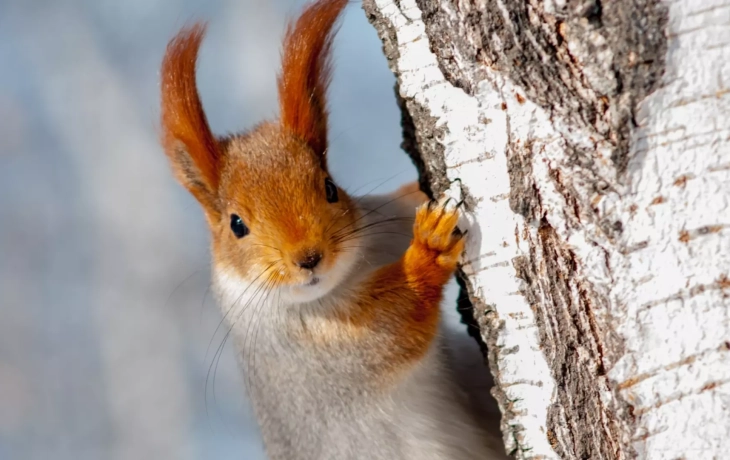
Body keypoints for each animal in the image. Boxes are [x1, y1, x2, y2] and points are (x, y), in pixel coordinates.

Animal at [159, 0, 504, 460]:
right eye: (236, 225)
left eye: (329, 187)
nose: (308, 258)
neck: (350, 275)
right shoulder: (320, 354)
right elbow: (399, 325)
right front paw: (428, 249)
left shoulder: (384, 221)